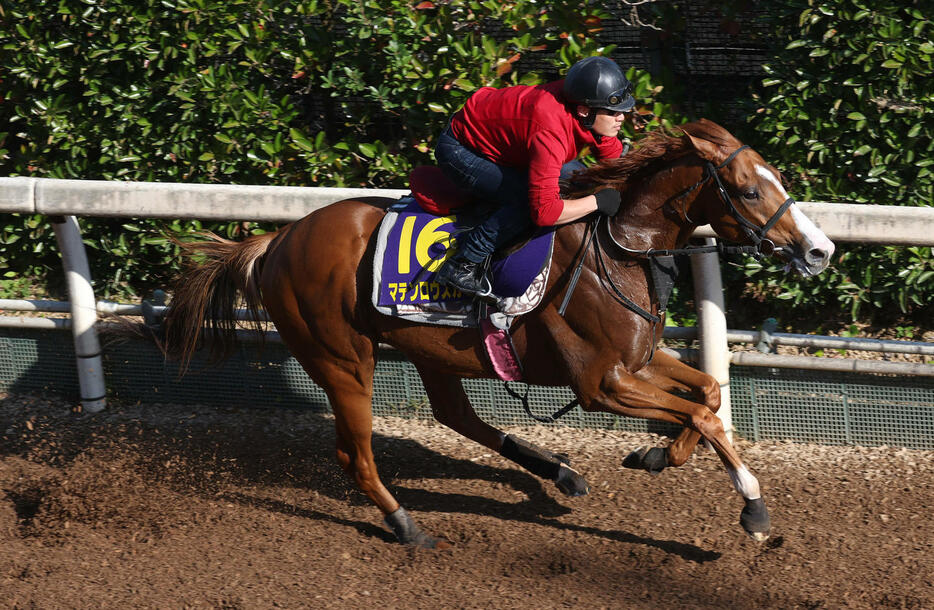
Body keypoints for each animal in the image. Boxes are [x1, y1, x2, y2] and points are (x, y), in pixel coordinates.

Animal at [159, 119, 832, 548]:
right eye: (749, 189)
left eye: (776, 177)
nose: (820, 251)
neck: (619, 247)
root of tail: (277, 240)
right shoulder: (601, 384)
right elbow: (700, 414)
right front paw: (752, 506)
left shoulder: (638, 360)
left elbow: (709, 397)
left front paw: (657, 454)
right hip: (342, 360)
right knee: (357, 454)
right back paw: (406, 525)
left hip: (426, 348)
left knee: (456, 416)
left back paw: (560, 472)